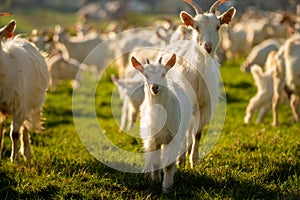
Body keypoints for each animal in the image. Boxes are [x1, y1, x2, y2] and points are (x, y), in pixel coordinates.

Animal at [132, 54, 193, 193]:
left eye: (163, 74)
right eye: (146, 75)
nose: (155, 87)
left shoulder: (172, 137)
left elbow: (169, 164)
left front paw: (167, 187)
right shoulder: (152, 139)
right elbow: (155, 162)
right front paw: (155, 180)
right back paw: (146, 170)